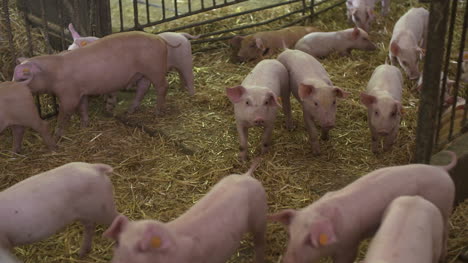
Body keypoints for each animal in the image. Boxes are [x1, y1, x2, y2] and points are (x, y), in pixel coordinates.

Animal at [12, 31, 170, 138]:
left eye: (22, 79)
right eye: (13, 77)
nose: (11, 89)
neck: (53, 74)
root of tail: (160, 40)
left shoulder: (69, 95)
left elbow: (64, 113)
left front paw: (57, 134)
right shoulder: (81, 92)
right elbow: (83, 108)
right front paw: (84, 125)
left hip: (155, 69)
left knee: (162, 86)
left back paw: (157, 112)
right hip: (142, 73)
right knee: (143, 87)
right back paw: (129, 111)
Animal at [268, 152, 456, 263]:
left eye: (309, 240)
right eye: (290, 235)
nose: (286, 261)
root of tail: (441, 169)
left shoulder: (349, 244)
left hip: (444, 206)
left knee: (445, 232)